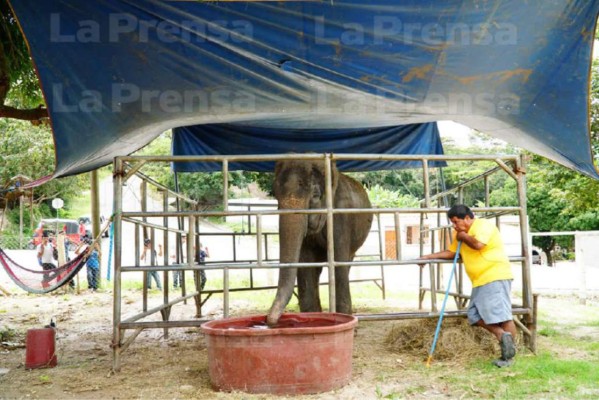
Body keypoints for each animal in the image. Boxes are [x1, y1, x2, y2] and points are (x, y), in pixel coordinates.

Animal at [266, 158, 372, 326]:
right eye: (276, 196)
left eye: (315, 195)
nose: (269, 321)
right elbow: (305, 263)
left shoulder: (341, 215)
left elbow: (339, 262)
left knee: (346, 263)